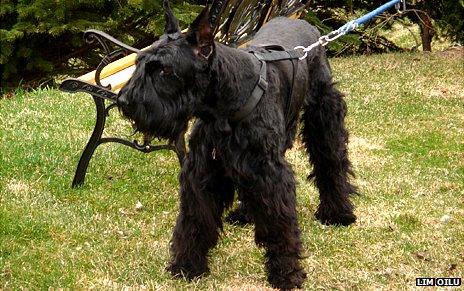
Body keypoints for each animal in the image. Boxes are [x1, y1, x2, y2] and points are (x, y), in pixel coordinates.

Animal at [118, 1, 358, 290]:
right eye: (139, 62)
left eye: (165, 70)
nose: (124, 101)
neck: (223, 106)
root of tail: (307, 26)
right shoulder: (204, 172)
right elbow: (195, 220)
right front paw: (187, 266)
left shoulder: (270, 172)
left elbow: (279, 222)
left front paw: (286, 273)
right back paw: (246, 213)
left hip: (323, 117)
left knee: (331, 162)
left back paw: (337, 213)